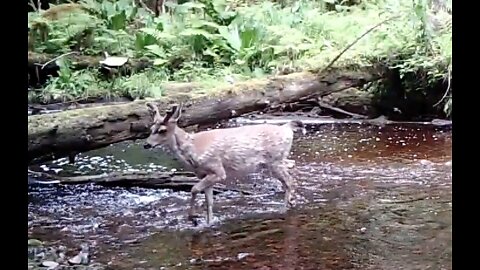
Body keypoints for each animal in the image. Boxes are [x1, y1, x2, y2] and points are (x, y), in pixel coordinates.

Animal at [142, 102, 304, 225]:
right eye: (151, 129)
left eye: (162, 130)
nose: (146, 144)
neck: (193, 149)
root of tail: (287, 128)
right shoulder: (204, 174)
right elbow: (209, 201)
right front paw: (209, 222)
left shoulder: (217, 170)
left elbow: (194, 189)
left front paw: (192, 217)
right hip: (276, 162)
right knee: (290, 177)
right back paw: (290, 203)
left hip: (275, 161)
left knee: (289, 181)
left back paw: (284, 208)